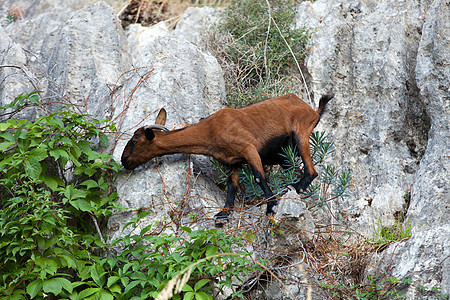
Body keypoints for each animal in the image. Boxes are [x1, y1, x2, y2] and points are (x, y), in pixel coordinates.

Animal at [121, 94, 332, 223]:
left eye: (134, 141)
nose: (124, 161)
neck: (210, 131)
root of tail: (313, 111)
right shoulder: (234, 161)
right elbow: (232, 185)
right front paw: (223, 214)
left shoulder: (248, 148)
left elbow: (258, 176)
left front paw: (271, 205)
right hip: (285, 153)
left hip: (300, 133)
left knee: (311, 171)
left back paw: (295, 187)